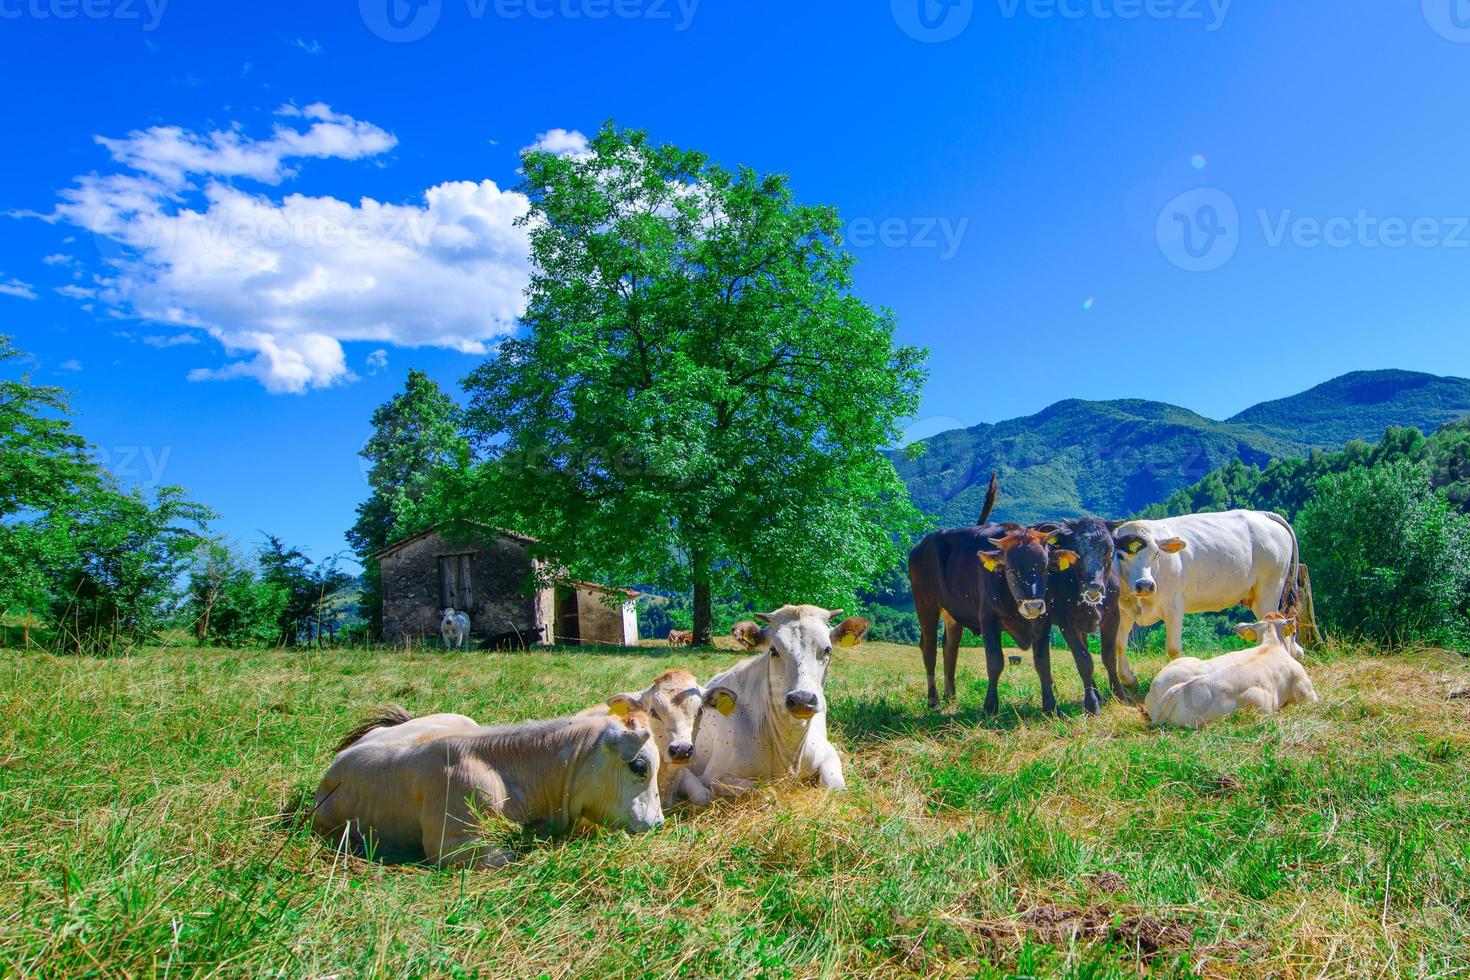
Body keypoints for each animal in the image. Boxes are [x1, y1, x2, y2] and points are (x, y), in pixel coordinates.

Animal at [690, 605, 864, 799]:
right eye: (773, 650)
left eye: (828, 649)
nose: (802, 699)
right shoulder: (714, 775)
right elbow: (763, 791)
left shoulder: (827, 753)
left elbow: (837, 788)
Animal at [1105, 505, 1305, 690]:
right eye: (1120, 556)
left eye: (1156, 554)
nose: (1145, 585)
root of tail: (1262, 514)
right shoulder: (1123, 610)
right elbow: (1119, 644)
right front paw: (1128, 679)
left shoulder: (1174, 606)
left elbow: (1173, 648)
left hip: (1270, 587)